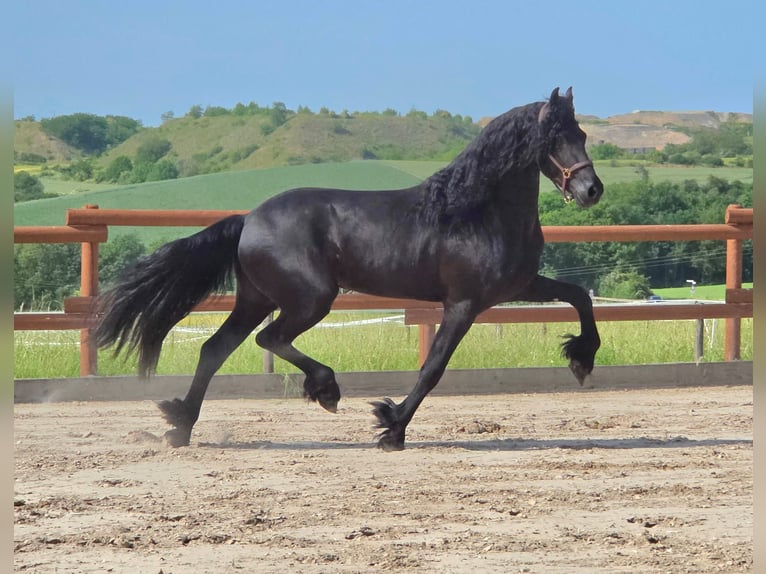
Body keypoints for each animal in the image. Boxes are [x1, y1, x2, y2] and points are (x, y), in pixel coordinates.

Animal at [94, 87, 603, 451]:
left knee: (215, 349)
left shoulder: (518, 286)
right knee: (268, 339)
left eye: (581, 135)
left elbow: (580, 296)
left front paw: (582, 359)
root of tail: (249, 219)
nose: (591, 190)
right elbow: (433, 367)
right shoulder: (463, 303)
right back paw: (325, 389)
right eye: (554, 138)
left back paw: (180, 427)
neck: (473, 211)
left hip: (257, 298)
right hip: (312, 298)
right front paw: (391, 427)